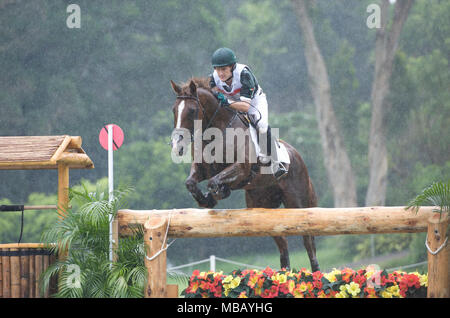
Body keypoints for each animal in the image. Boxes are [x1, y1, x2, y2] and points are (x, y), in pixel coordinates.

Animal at [169, 77, 320, 270]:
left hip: (297, 203)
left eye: (192, 110)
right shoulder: (203, 168)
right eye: (174, 110)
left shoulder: (242, 168)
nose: (177, 146)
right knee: (283, 245)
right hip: (263, 204)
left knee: (309, 243)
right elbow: (191, 183)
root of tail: (297, 155)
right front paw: (206, 200)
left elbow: (214, 182)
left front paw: (217, 194)